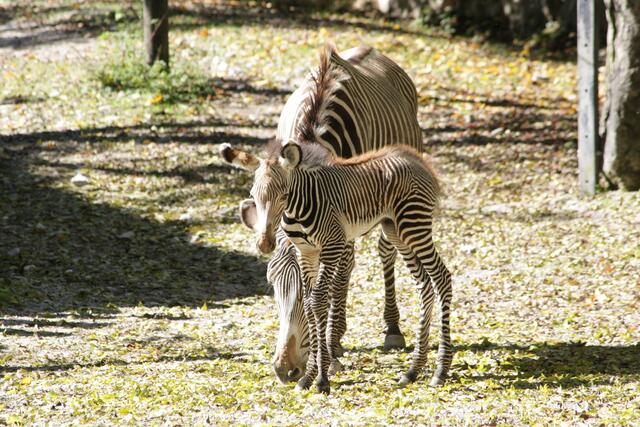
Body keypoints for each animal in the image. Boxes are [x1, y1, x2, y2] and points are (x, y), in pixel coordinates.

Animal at [220, 140, 453, 394]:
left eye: (283, 195)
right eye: (253, 195)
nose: (264, 244)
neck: (298, 207)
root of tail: (414, 158)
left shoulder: (333, 245)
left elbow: (318, 300)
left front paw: (321, 378)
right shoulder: (306, 252)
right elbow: (309, 302)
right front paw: (309, 376)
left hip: (413, 225)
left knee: (442, 277)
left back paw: (441, 370)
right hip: (395, 228)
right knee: (424, 284)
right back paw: (413, 371)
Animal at [227, 45, 424, 383]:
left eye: (283, 196)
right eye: (271, 282)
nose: (285, 369)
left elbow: (337, 279)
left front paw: (330, 351)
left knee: (383, 253)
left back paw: (390, 328)